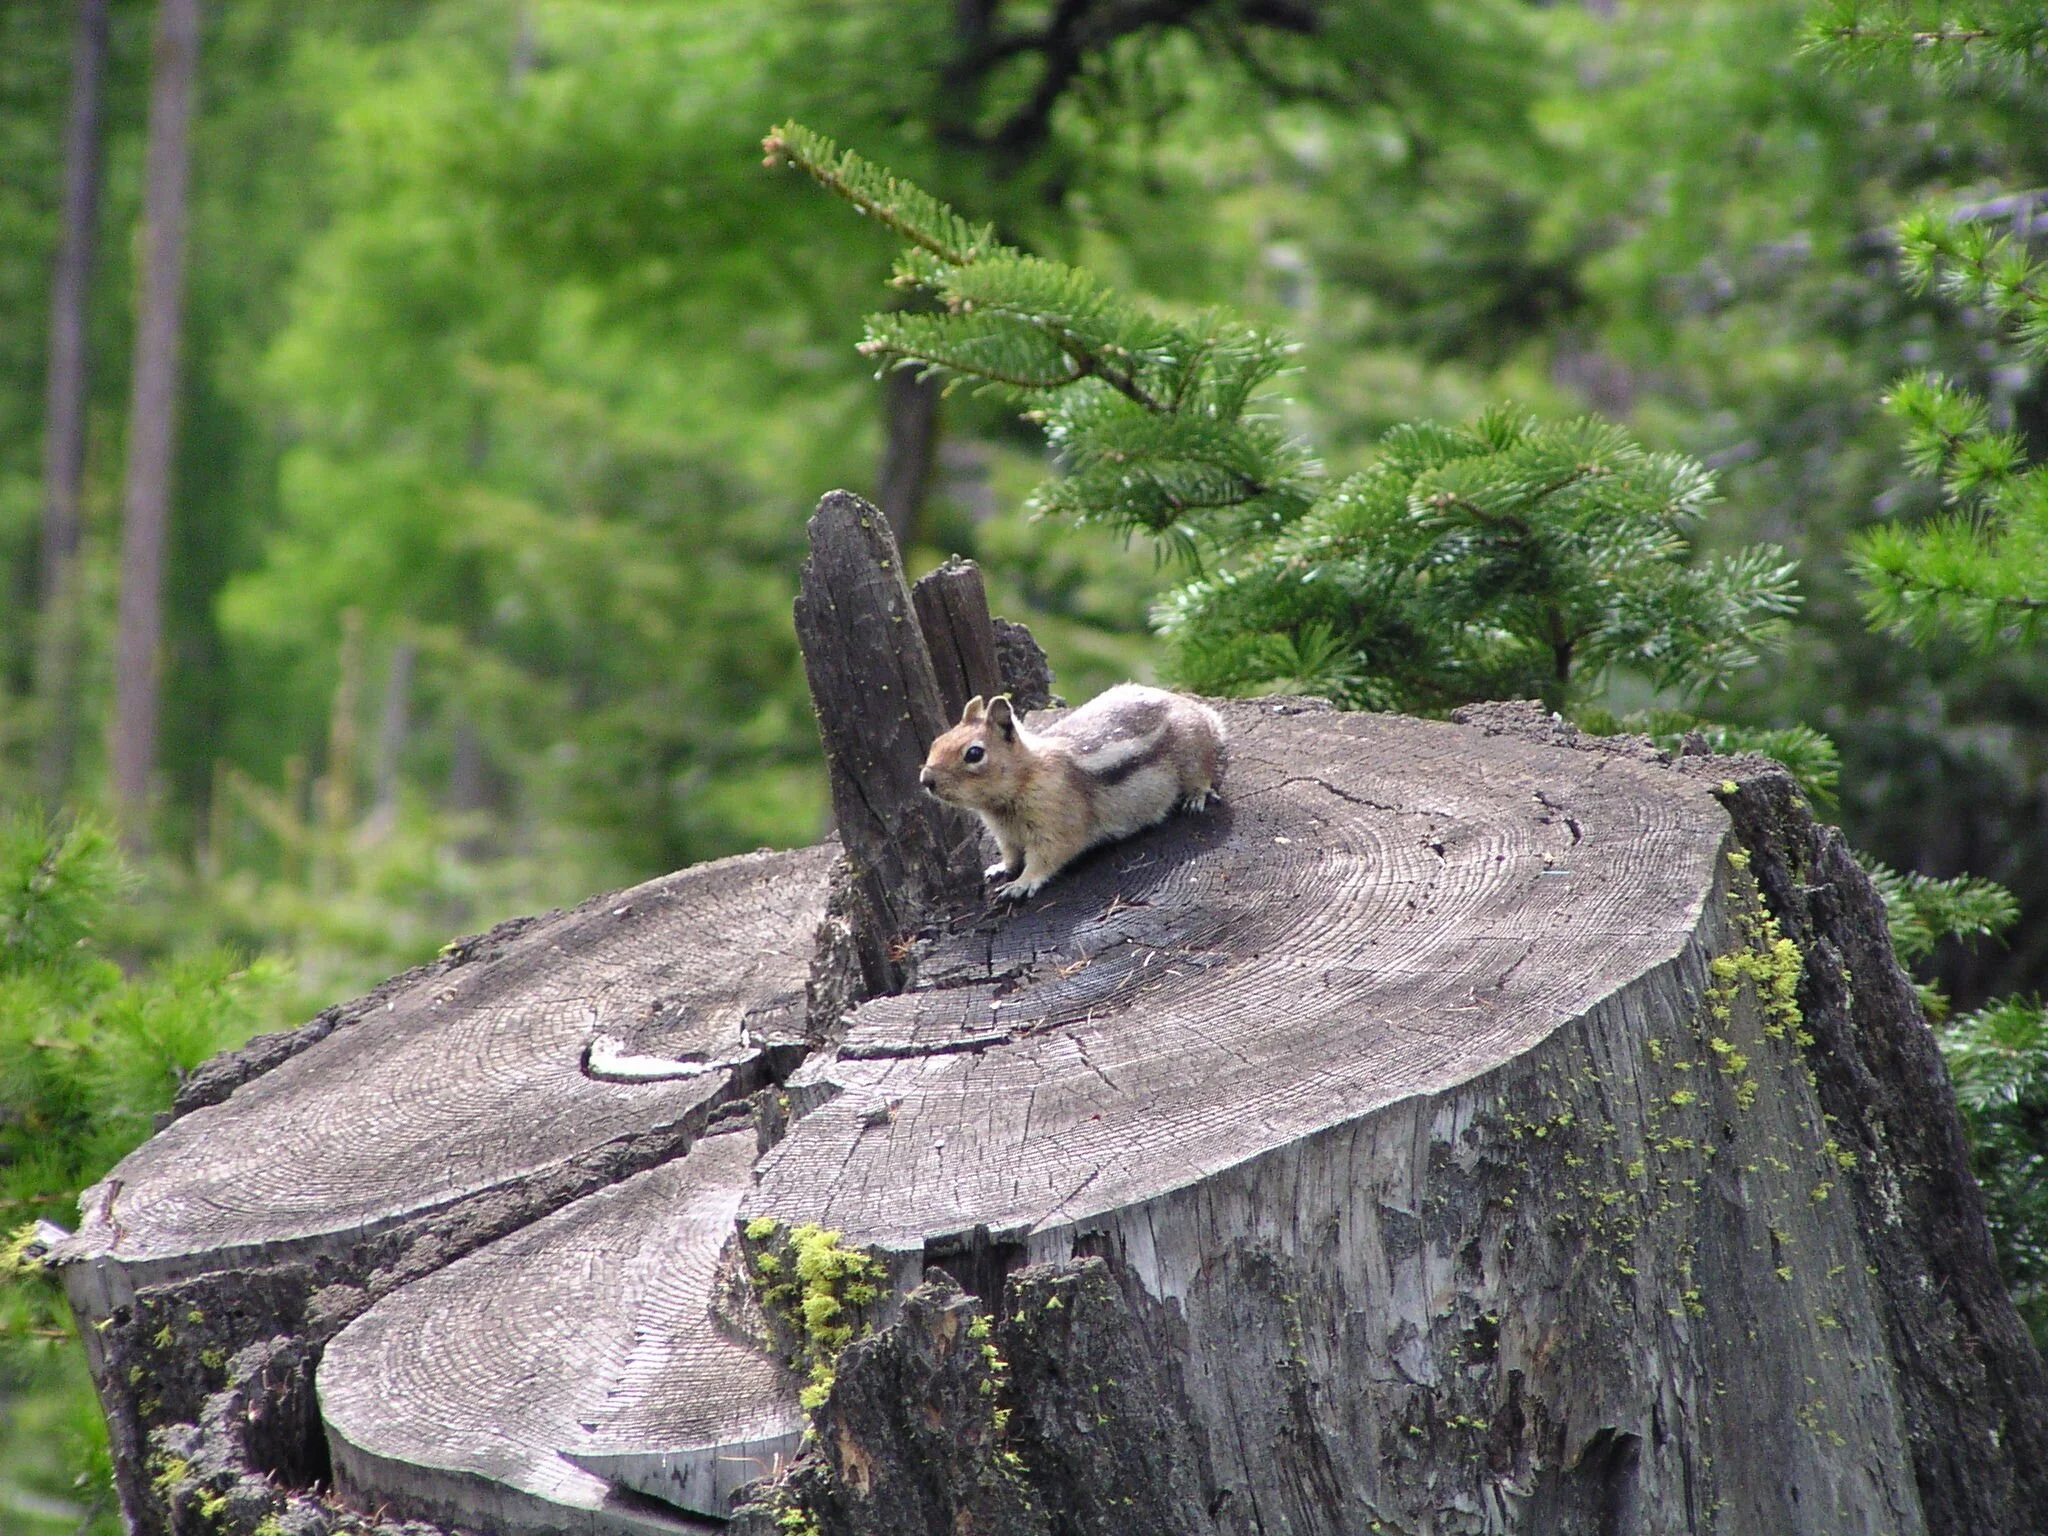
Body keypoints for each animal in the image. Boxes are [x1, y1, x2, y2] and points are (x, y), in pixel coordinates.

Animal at [919, 683, 1227, 900]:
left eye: (974, 754)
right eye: (936, 742)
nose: (926, 780)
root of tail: (1197, 709)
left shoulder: (1055, 824)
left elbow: (1046, 857)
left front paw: (1021, 884)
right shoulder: (1005, 836)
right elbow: (1011, 855)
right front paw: (1000, 869)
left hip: (1193, 752)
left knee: (1203, 773)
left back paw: (1195, 797)